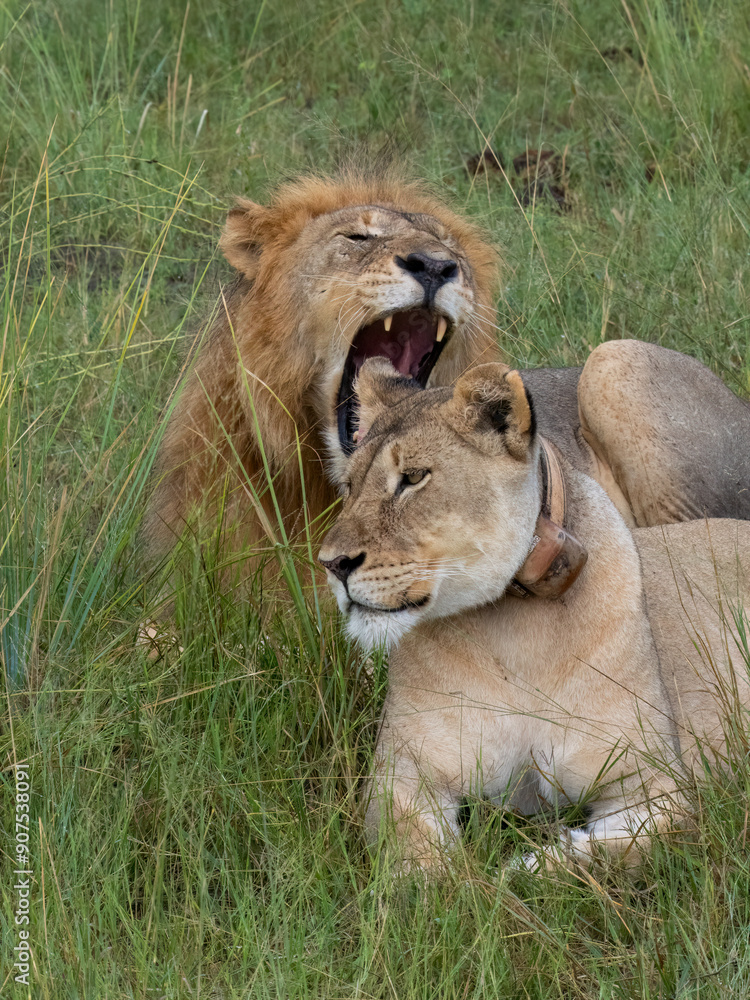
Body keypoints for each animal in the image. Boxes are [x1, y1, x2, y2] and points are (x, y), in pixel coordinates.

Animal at [318, 358, 750, 870]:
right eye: (349, 487)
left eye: (413, 477)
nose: (332, 564)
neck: (517, 633)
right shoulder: (402, 775)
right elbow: (418, 865)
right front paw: (462, 879)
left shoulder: (659, 786)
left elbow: (603, 855)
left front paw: (522, 867)